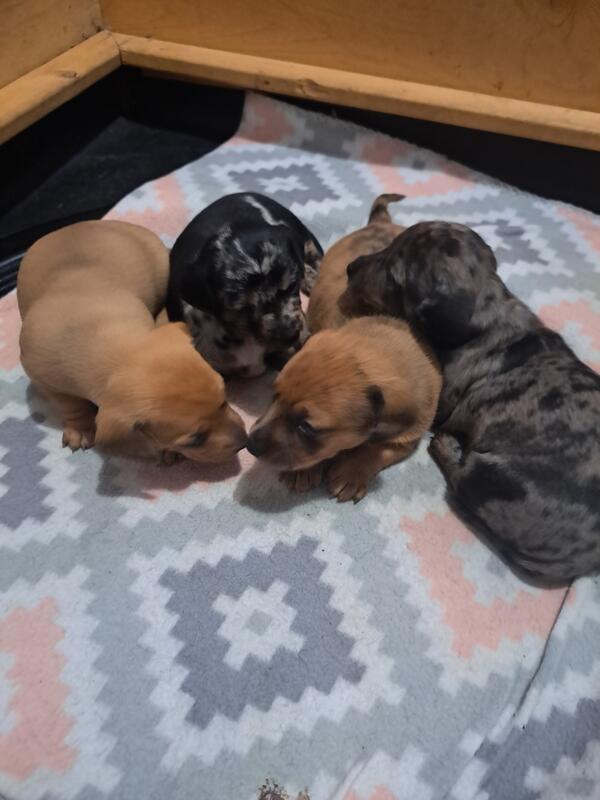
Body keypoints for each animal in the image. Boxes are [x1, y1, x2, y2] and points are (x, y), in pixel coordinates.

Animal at [18, 220, 247, 463]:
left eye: (224, 400)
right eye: (196, 439)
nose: (244, 442)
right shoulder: (45, 379)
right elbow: (71, 405)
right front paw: (80, 428)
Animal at [246, 315, 441, 502]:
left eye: (306, 427)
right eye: (274, 396)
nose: (249, 446)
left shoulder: (405, 440)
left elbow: (374, 451)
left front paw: (350, 474)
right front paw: (302, 472)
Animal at [341, 220, 600, 582]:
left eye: (394, 276)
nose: (350, 267)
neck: (489, 319)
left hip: (495, 478)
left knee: (461, 478)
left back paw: (445, 447)